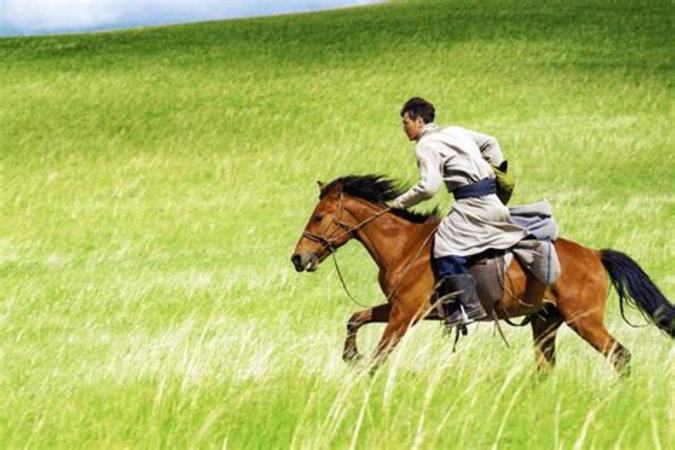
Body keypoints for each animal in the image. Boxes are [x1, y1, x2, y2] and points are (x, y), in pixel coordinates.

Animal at [290, 175, 675, 372]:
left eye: (319, 217)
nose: (297, 258)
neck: (403, 245)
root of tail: (594, 254)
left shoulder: (405, 313)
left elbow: (380, 356)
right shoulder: (403, 308)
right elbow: (355, 318)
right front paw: (350, 355)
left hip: (584, 320)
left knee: (620, 356)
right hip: (546, 322)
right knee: (545, 367)